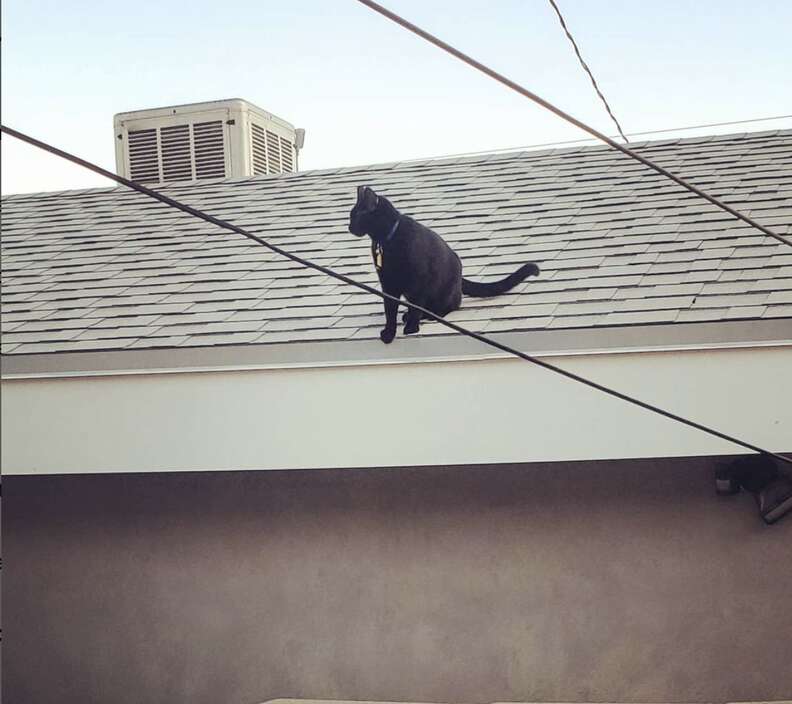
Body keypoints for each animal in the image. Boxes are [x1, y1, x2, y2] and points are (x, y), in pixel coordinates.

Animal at [348, 186, 540, 342]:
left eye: (354, 215)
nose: (348, 227)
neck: (385, 240)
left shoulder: (419, 279)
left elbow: (416, 306)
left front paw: (411, 328)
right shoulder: (388, 284)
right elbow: (390, 310)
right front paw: (389, 333)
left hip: (445, 290)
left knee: (451, 305)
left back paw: (430, 316)